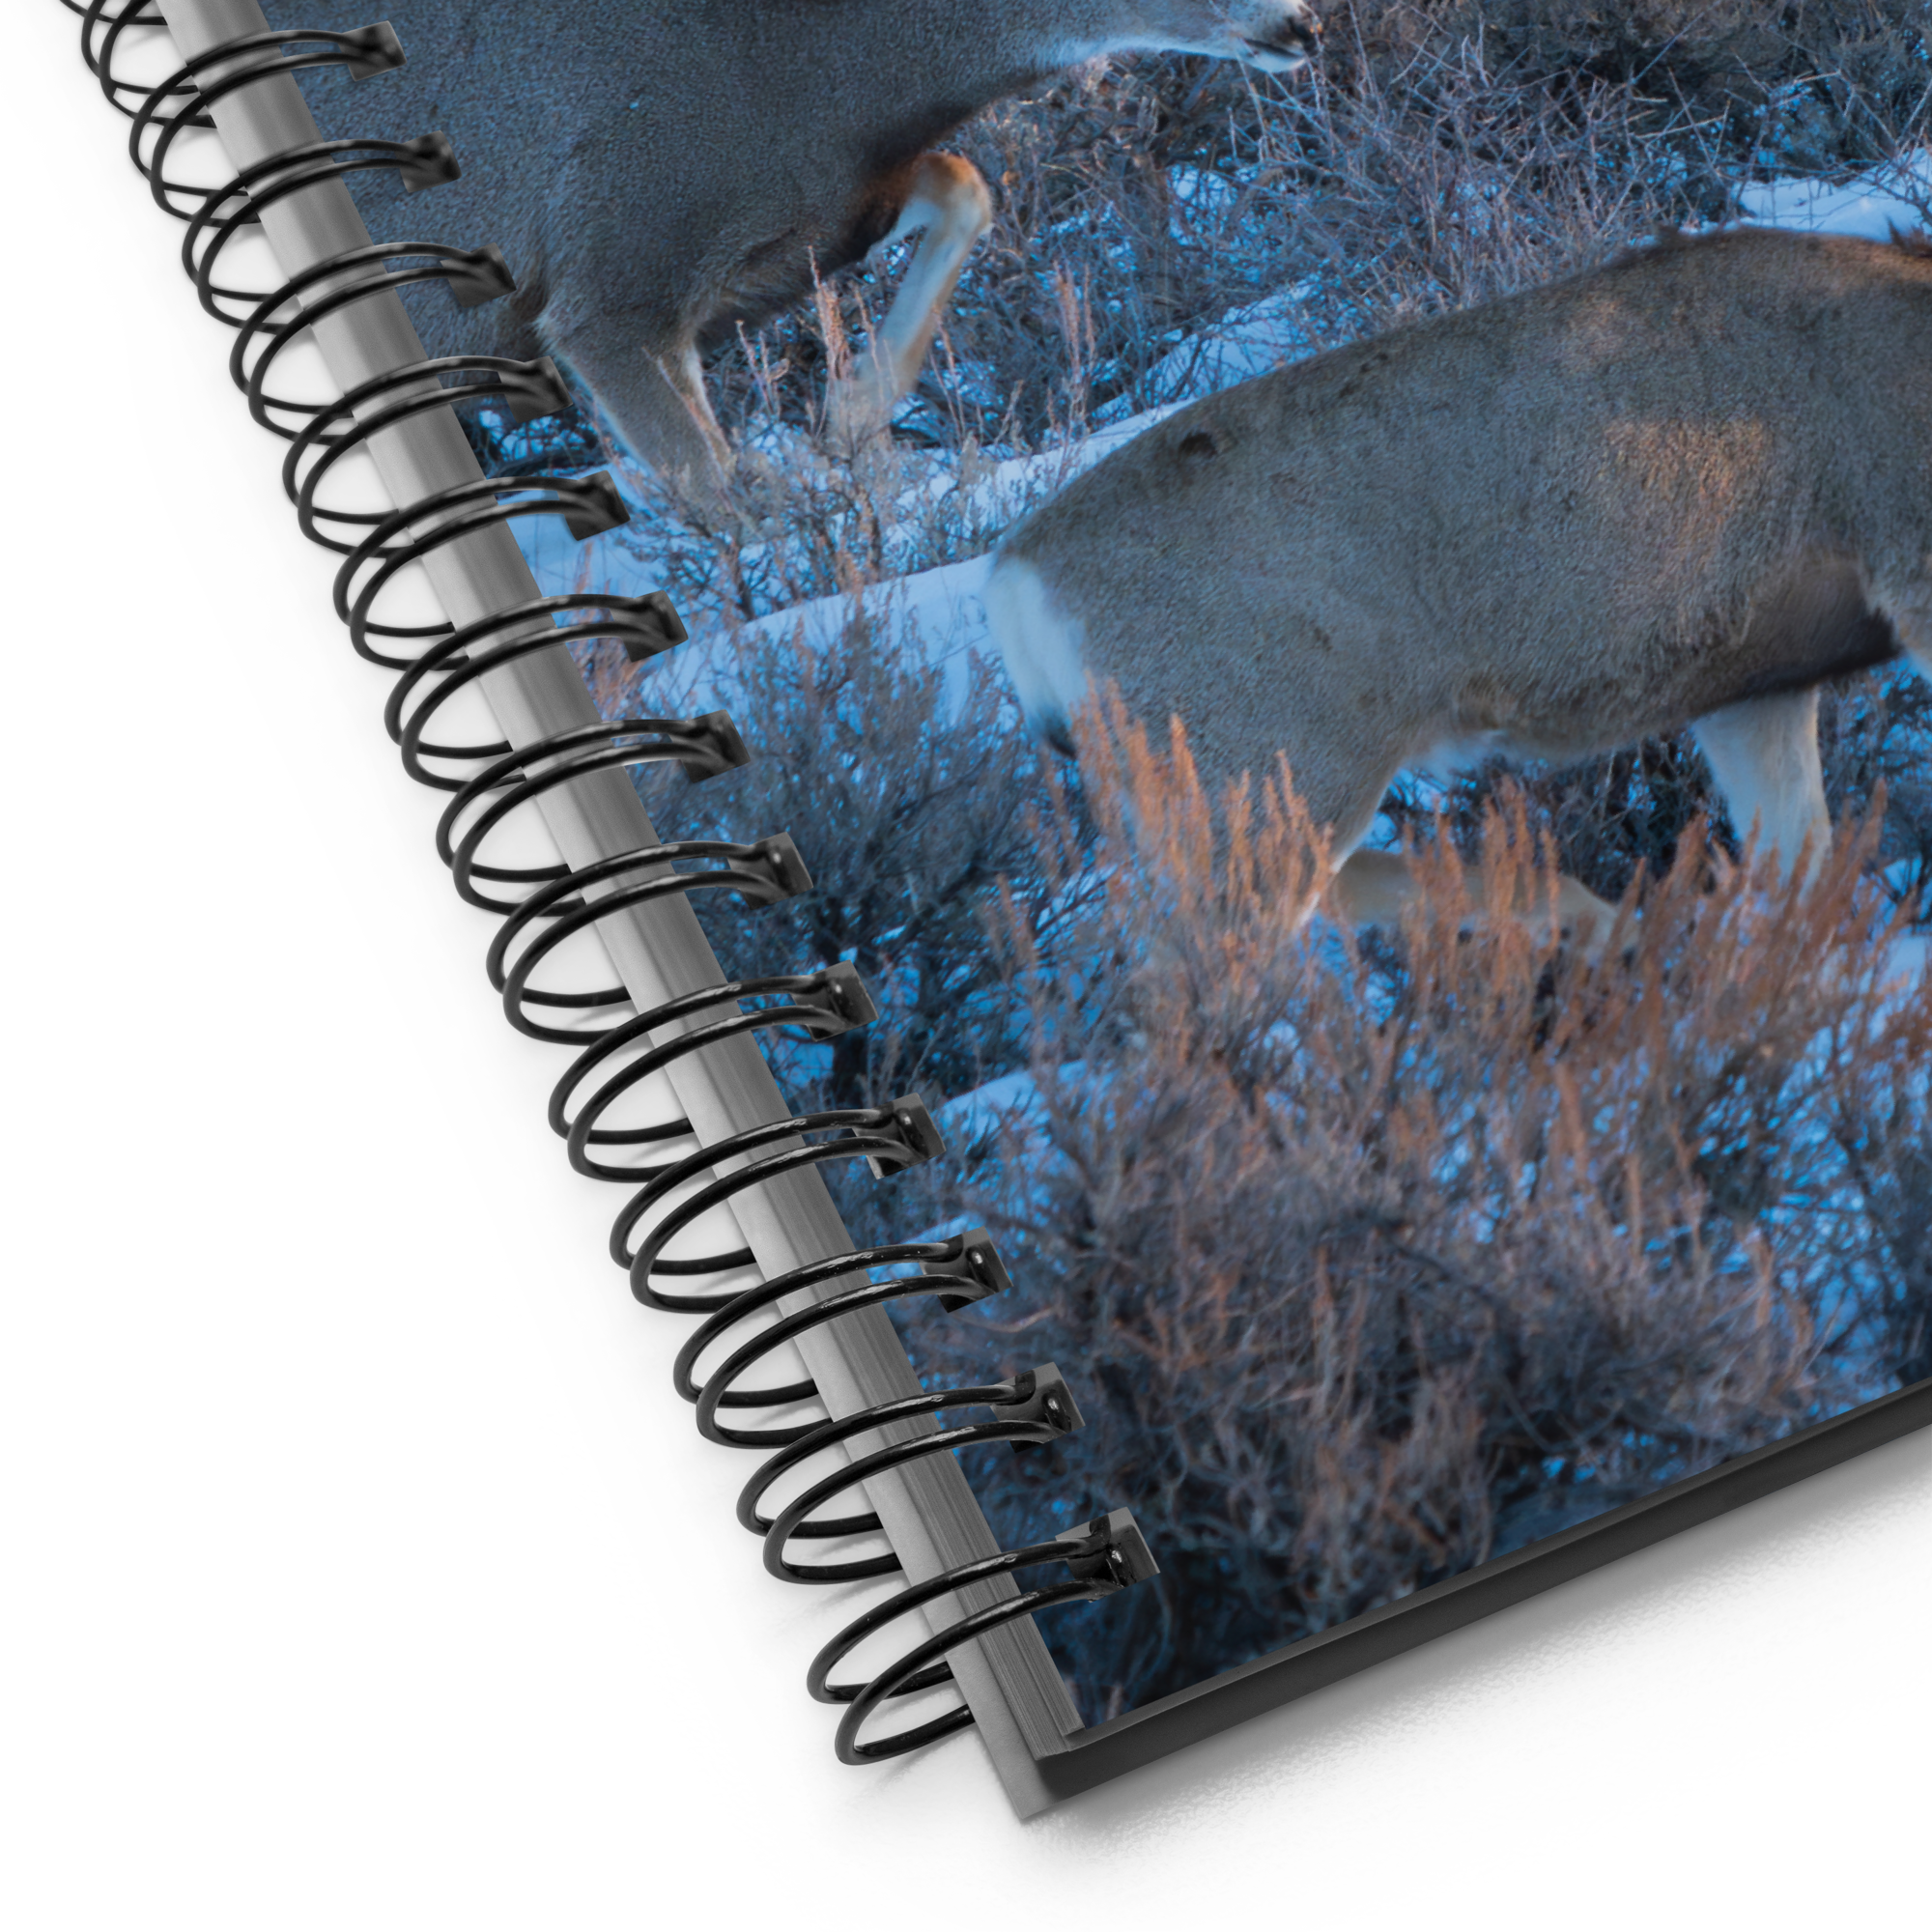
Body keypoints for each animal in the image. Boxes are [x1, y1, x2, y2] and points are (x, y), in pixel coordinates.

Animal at [268, 0, 1321, 505]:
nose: (1304, 21)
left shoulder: (810, 220)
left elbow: (966, 184)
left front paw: (847, 422)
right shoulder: (611, 269)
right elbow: (715, 492)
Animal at [982, 224, 1932, 949]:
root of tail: (1015, 587)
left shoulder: (1752, 684)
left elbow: (1803, 865)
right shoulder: (1909, 560)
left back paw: (1590, 923)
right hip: (1265, 777)